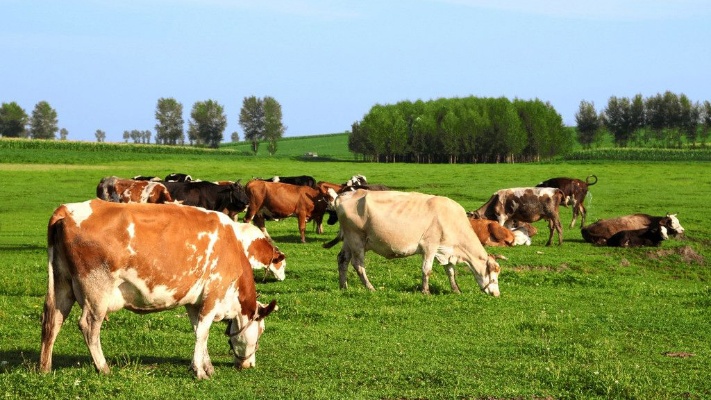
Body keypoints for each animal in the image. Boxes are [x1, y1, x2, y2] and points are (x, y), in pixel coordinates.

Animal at [38, 202, 278, 380]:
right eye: (261, 331)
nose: (249, 365)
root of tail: (67, 210)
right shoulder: (213, 293)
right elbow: (203, 332)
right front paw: (200, 371)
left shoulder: (194, 302)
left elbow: (199, 332)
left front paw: (206, 366)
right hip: (97, 291)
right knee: (88, 326)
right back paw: (103, 367)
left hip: (61, 283)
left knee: (53, 319)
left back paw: (45, 367)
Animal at [326, 189, 500, 296]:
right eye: (493, 277)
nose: (496, 294)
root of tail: (343, 196)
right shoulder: (430, 246)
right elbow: (427, 270)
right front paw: (426, 291)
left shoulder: (445, 249)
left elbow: (450, 271)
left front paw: (456, 290)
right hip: (357, 239)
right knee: (358, 265)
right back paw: (370, 287)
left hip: (349, 241)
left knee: (342, 259)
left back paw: (343, 287)